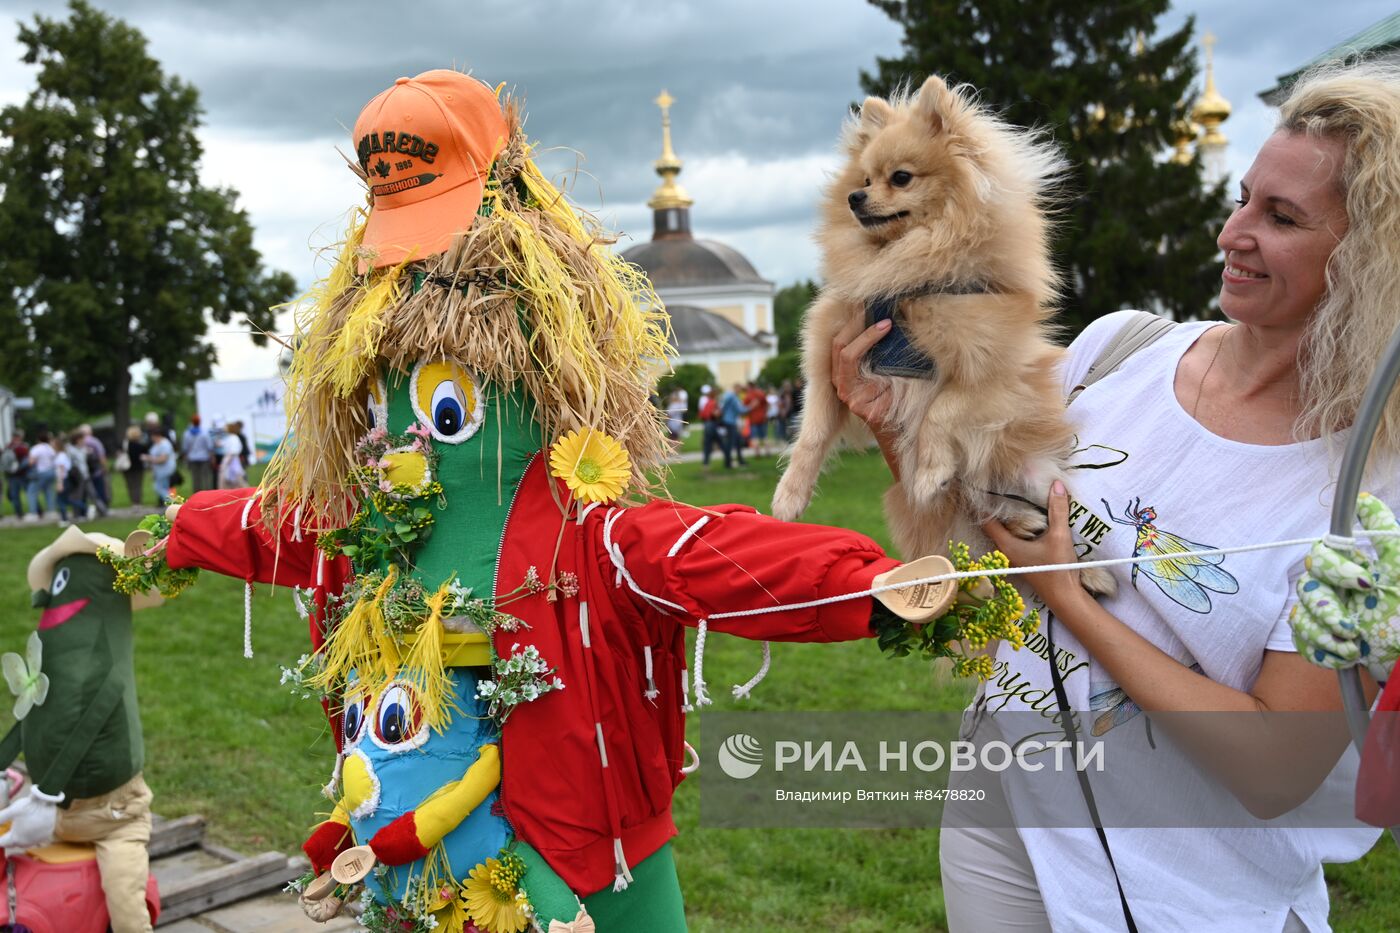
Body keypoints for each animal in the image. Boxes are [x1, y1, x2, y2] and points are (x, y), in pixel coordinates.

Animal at [772, 76, 1108, 591]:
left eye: (900, 178)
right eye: (863, 180)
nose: (854, 199)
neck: (910, 274)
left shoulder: (992, 372)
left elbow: (942, 411)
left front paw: (930, 471)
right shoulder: (828, 362)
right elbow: (811, 434)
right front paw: (789, 496)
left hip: (1039, 476)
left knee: (1054, 522)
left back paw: (1083, 567)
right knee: (985, 503)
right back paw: (1021, 522)